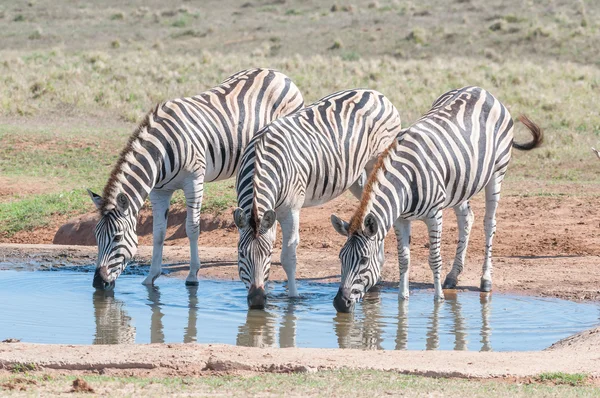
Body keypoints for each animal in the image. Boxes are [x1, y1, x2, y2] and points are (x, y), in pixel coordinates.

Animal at [86, 68, 302, 290]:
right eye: (96, 236)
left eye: (117, 237)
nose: (98, 283)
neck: (162, 151)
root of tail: (276, 73)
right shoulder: (159, 191)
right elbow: (158, 233)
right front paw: (151, 277)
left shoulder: (194, 181)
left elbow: (192, 228)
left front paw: (192, 275)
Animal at [233, 89, 404, 308]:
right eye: (241, 254)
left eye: (268, 254)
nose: (256, 300)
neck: (260, 160)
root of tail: (376, 93)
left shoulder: (291, 210)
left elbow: (288, 256)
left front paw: (293, 297)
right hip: (356, 177)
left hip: (376, 161)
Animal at [332, 85, 544, 312]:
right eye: (341, 257)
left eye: (363, 260)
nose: (340, 303)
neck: (405, 182)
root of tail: (482, 90)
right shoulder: (401, 219)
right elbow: (404, 259)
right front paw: (403, 299)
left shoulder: (435, 215)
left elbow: (434, 259)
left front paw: (439, 299)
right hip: (461, 183)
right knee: (466, 218)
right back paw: (452, 276)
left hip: (497, 172)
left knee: (489, 224)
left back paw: (485, 280)